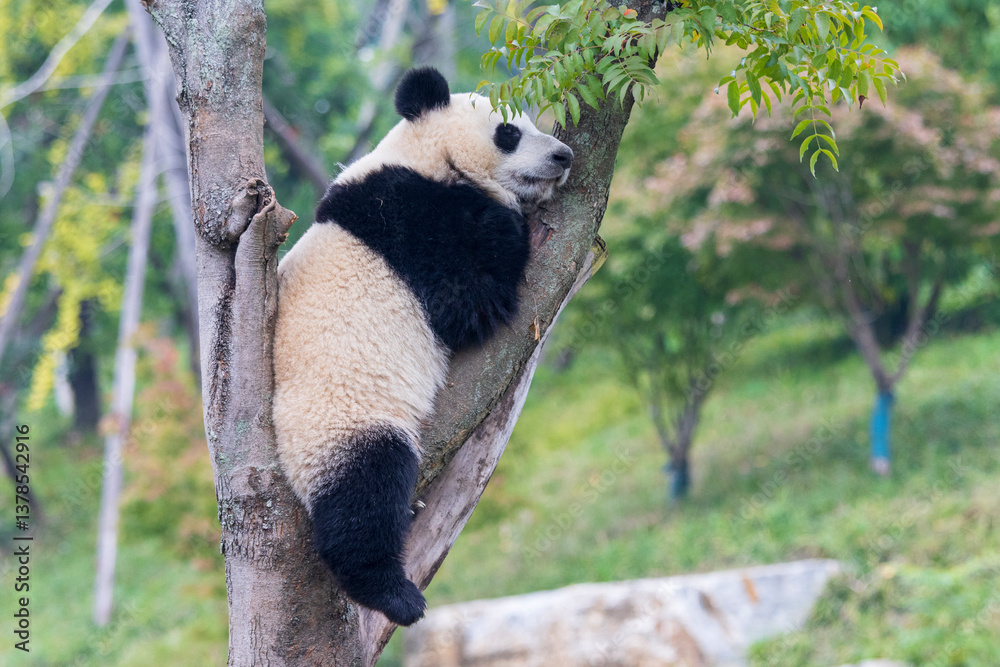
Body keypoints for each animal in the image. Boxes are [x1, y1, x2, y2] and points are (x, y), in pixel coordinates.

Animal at [272, 67, 573, 626]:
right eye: (509, 132)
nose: (563, 156)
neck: (424, 154)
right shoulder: (406, 219)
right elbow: (468, 303)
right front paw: (505, 218)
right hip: (339, 417)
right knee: (364, 493)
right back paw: (393, 594)